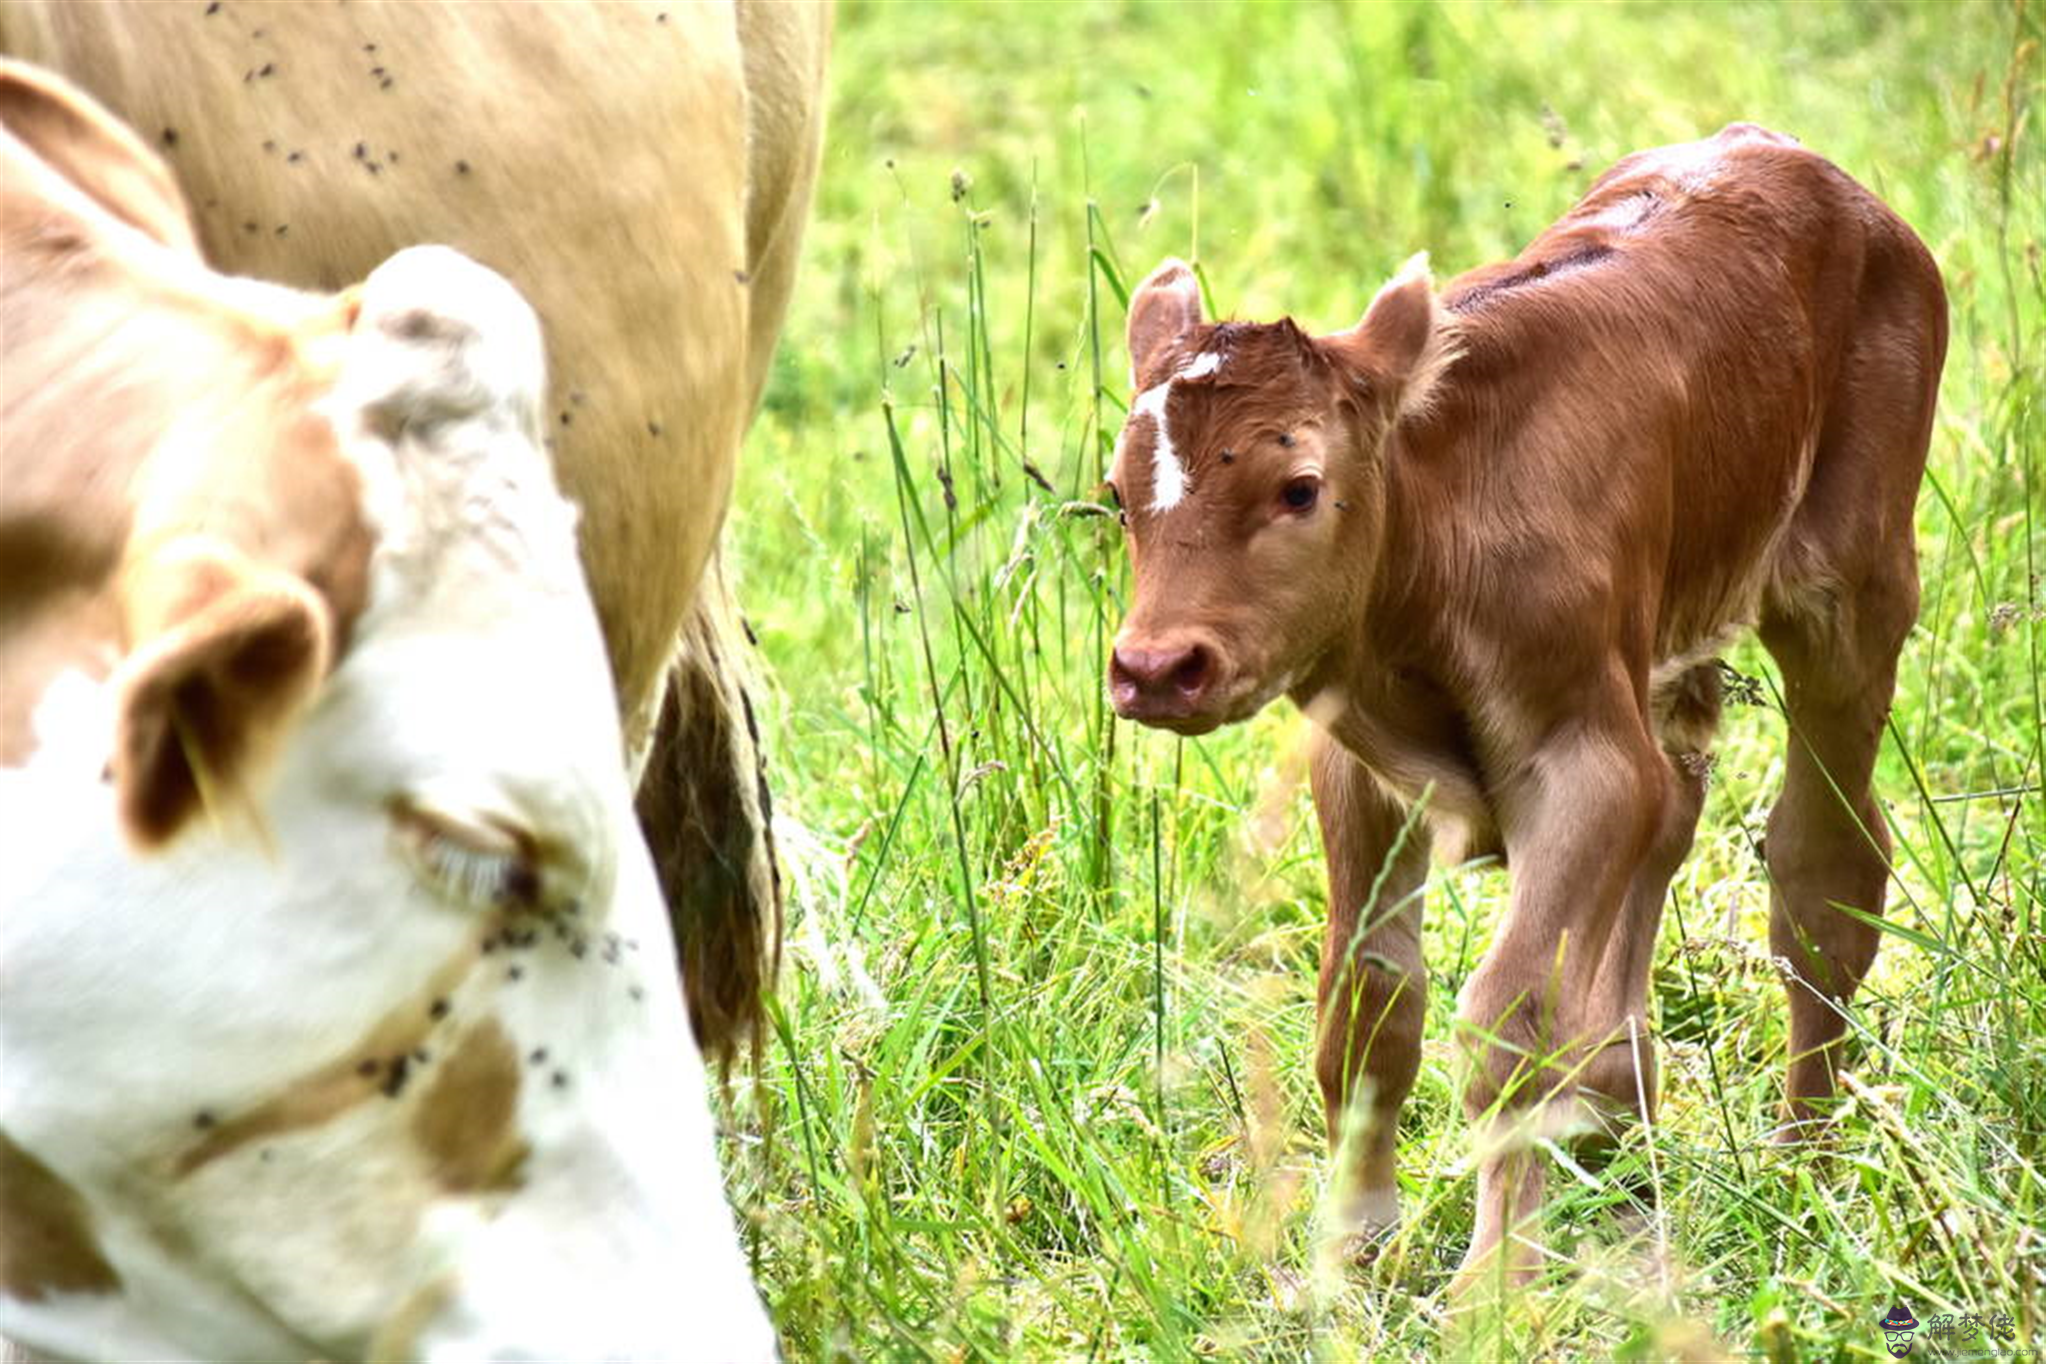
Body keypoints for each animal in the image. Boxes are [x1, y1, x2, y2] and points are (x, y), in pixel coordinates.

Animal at [1113, 120, 1939, 1292]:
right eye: (1118, 494)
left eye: (1300, 487)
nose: (1155, 667)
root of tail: (1785, 154)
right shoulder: (1356, 763)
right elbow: (1366, 1003)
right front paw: (1351, 1250)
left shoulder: (1584, 763)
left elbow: (1510, 1016)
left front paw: (1494, 1288)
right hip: (1673, 643)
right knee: (1675, 817)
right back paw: (1617, 1133)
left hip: (1854, 592)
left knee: (1825, 870)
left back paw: (1802, 1165)